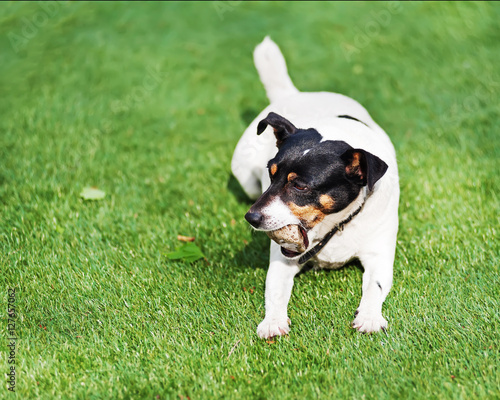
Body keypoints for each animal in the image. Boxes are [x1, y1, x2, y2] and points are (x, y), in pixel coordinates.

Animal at [232, 37, 400, 340]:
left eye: (300, 185)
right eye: (270, 175)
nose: (251, 218)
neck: (336, 225)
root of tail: (294, 93)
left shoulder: (379, 255)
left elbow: (375, 287)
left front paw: (370, 316)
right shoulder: (282, 261)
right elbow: (275, 291)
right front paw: (273, 321)